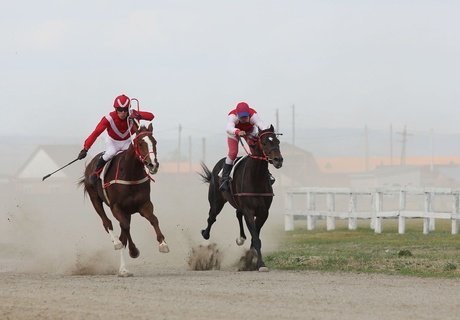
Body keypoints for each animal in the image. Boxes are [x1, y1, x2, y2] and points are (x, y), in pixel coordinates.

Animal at [79, 124, 169, 276]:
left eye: (155, 142)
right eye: (140, 143)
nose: (153, 165)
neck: (130, 174)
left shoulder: (144, 204)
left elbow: (153, 219)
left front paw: (163, 244)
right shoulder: (116, 207)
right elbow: (125, 228)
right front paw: (133, 251)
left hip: (127, 211)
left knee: (123, 233)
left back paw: (123, 268)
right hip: (95, 199)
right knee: (107, 223)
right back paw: (117, 246)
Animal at [199, 124, 282, 270]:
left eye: (277, 141)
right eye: (264, 142)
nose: (278, 160)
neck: (256, 178)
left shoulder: (263, 212)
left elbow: (255, 236)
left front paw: (251, 260)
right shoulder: (249, 210)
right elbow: (256, 237)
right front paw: (260, 264)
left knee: (238, 214)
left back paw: (241, 238)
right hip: (216, 201)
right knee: (212, 217)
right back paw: (205, 233)